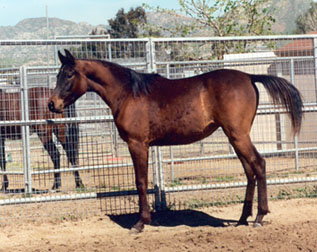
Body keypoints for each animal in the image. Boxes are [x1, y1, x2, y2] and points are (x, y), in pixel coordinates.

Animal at [48, 49, 302, 232]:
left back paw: (259, 216)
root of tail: (249, 77)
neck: (128, 93)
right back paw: (242, 218)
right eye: (58, 74)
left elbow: (141, 182)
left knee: (258, 165)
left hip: (238, 136)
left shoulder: (137, 144)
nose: (52, 104)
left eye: (69, 74)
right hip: (235, 137)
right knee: (250, 171)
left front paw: (141, 223)